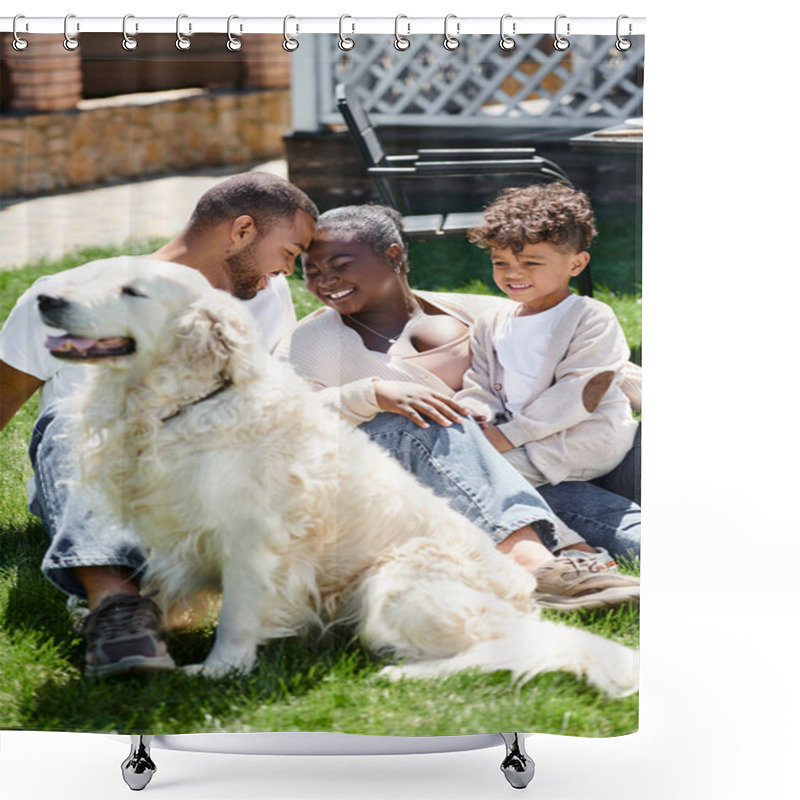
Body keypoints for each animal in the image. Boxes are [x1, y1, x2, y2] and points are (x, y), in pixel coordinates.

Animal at [39, 260, 636, 696]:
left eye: (132, 291)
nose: (47, 299)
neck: (181, 403)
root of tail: (521, 602)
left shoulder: (253, 538)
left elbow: (237, 615)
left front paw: (219, 669)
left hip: (393, 581)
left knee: (489, 653)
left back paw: (403, 673)